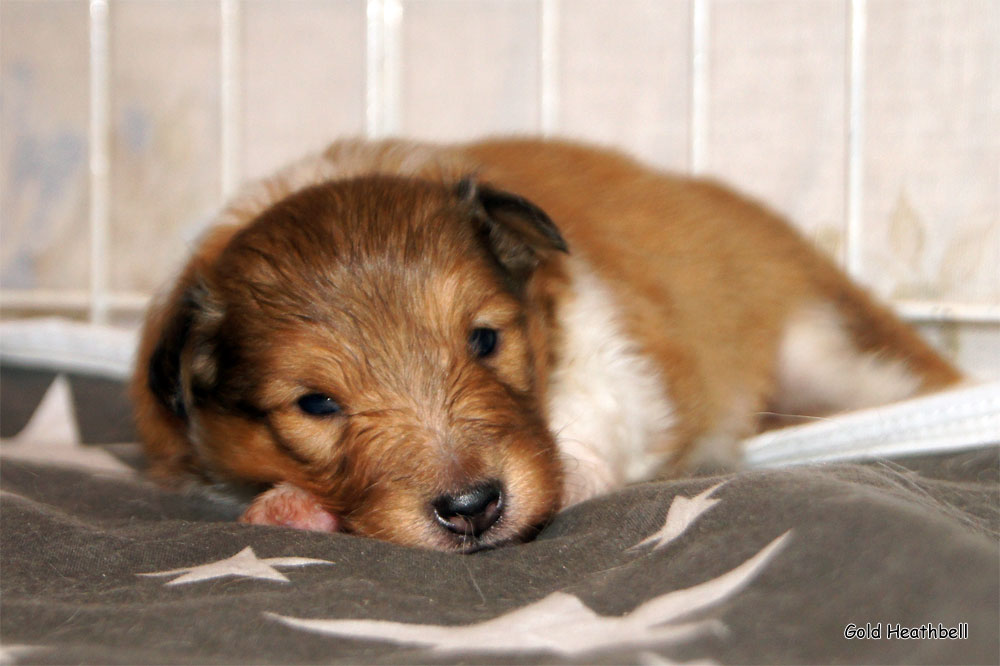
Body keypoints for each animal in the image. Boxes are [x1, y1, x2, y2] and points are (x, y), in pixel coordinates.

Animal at [133, 136, 960, 548]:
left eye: (485, 339)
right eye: (314, 404)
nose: (472, 508)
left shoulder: (613, 348)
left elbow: (594, 424)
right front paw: (286, 505)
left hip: (832, 350)